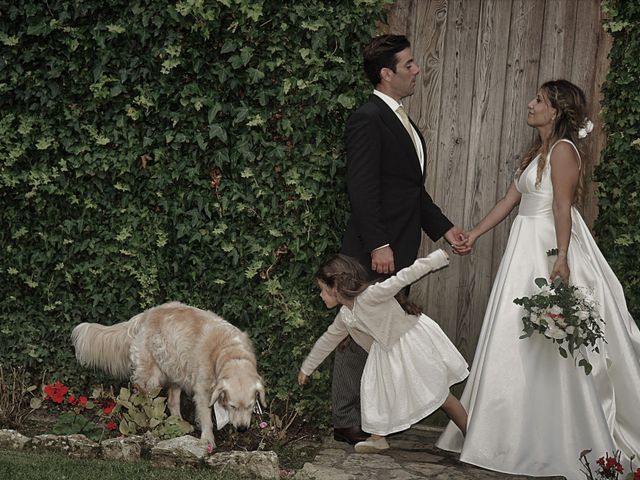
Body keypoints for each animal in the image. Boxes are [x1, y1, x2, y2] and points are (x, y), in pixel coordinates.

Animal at [72, 300, 264, 446]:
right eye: (232, 406)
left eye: (250, 406)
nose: (242, 429)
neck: (230, 353)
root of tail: (143, 315)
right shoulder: (202, 391)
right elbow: (206, 417)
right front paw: (208, 440)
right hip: (151, 378)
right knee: (145, 401)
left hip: (175, 368)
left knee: (172, 402)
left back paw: (179, 424)